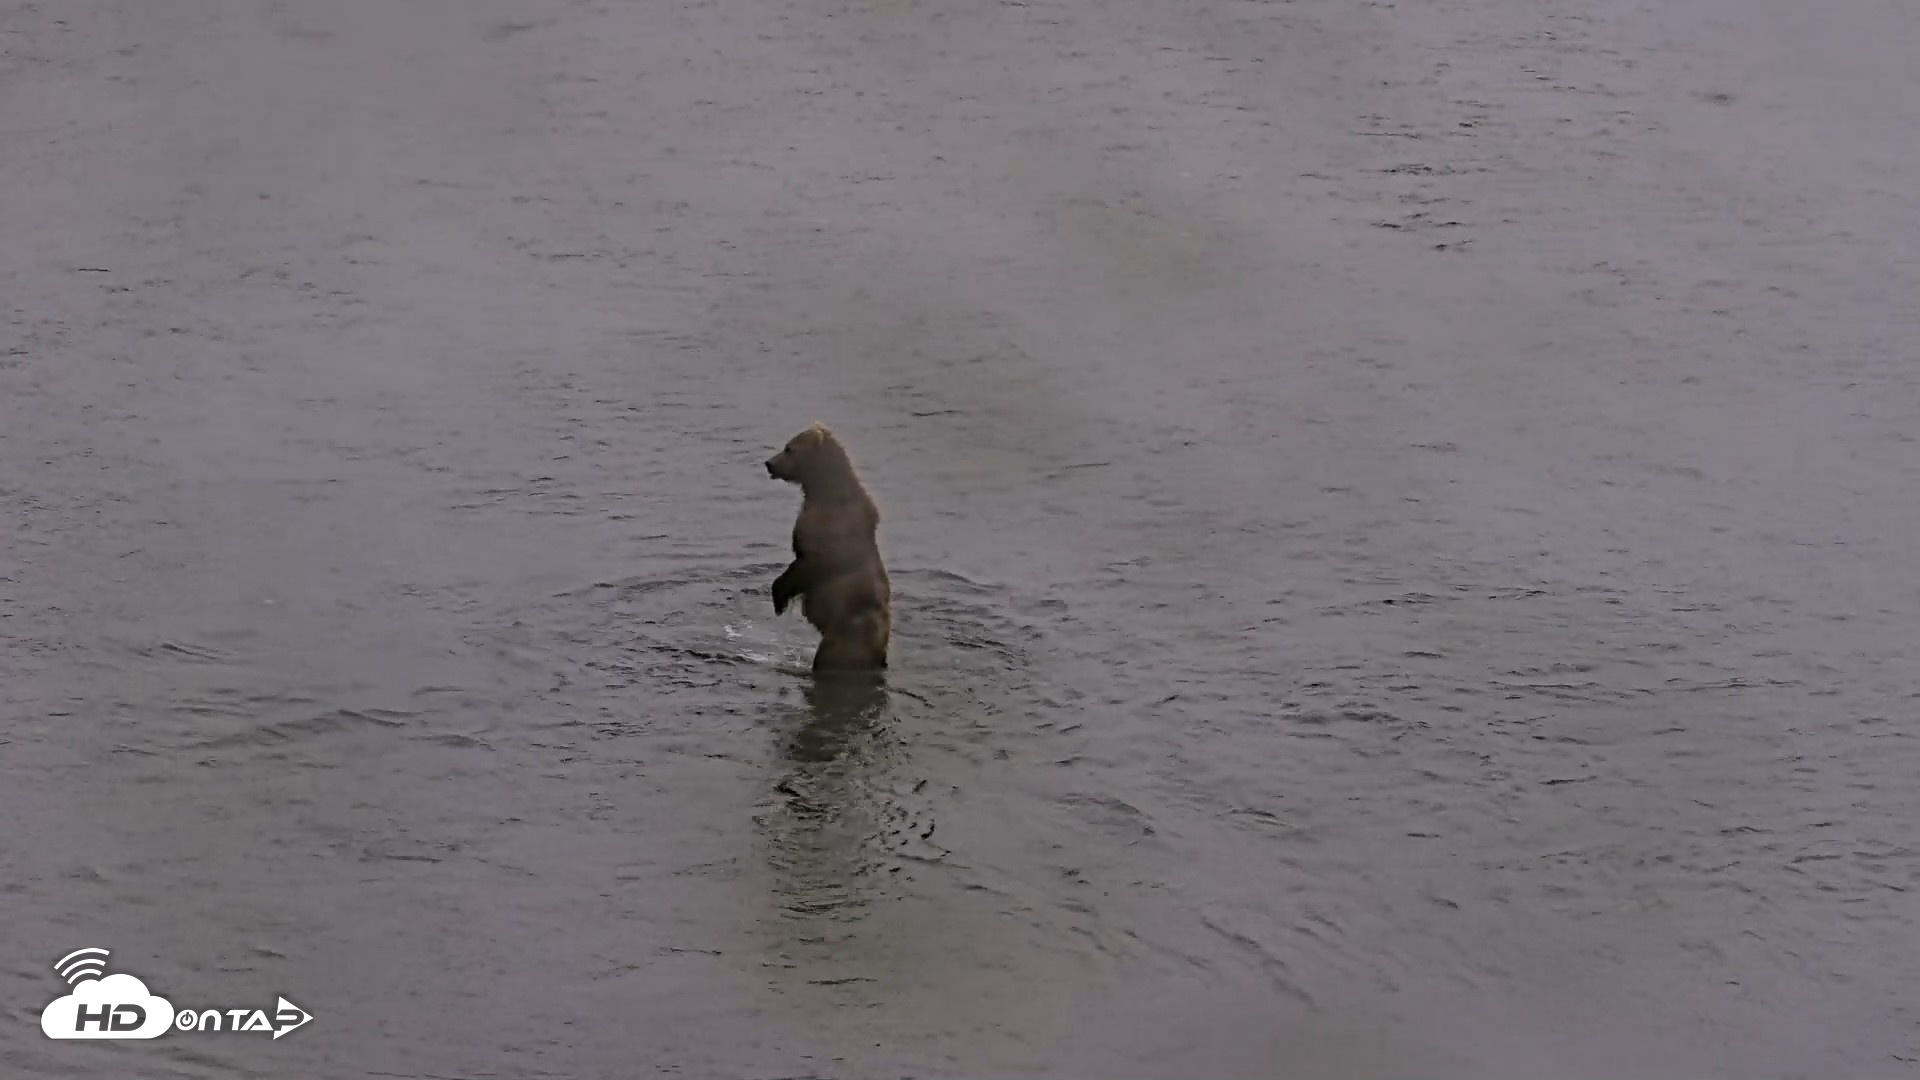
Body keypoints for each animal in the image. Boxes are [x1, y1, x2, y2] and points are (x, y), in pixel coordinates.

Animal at [764, 423, 892, 674]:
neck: (823, 489)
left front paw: (779, 598)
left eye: (789, 448)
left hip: (846, 638)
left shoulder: (827, 532)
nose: (769, 463)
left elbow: (808, 562)